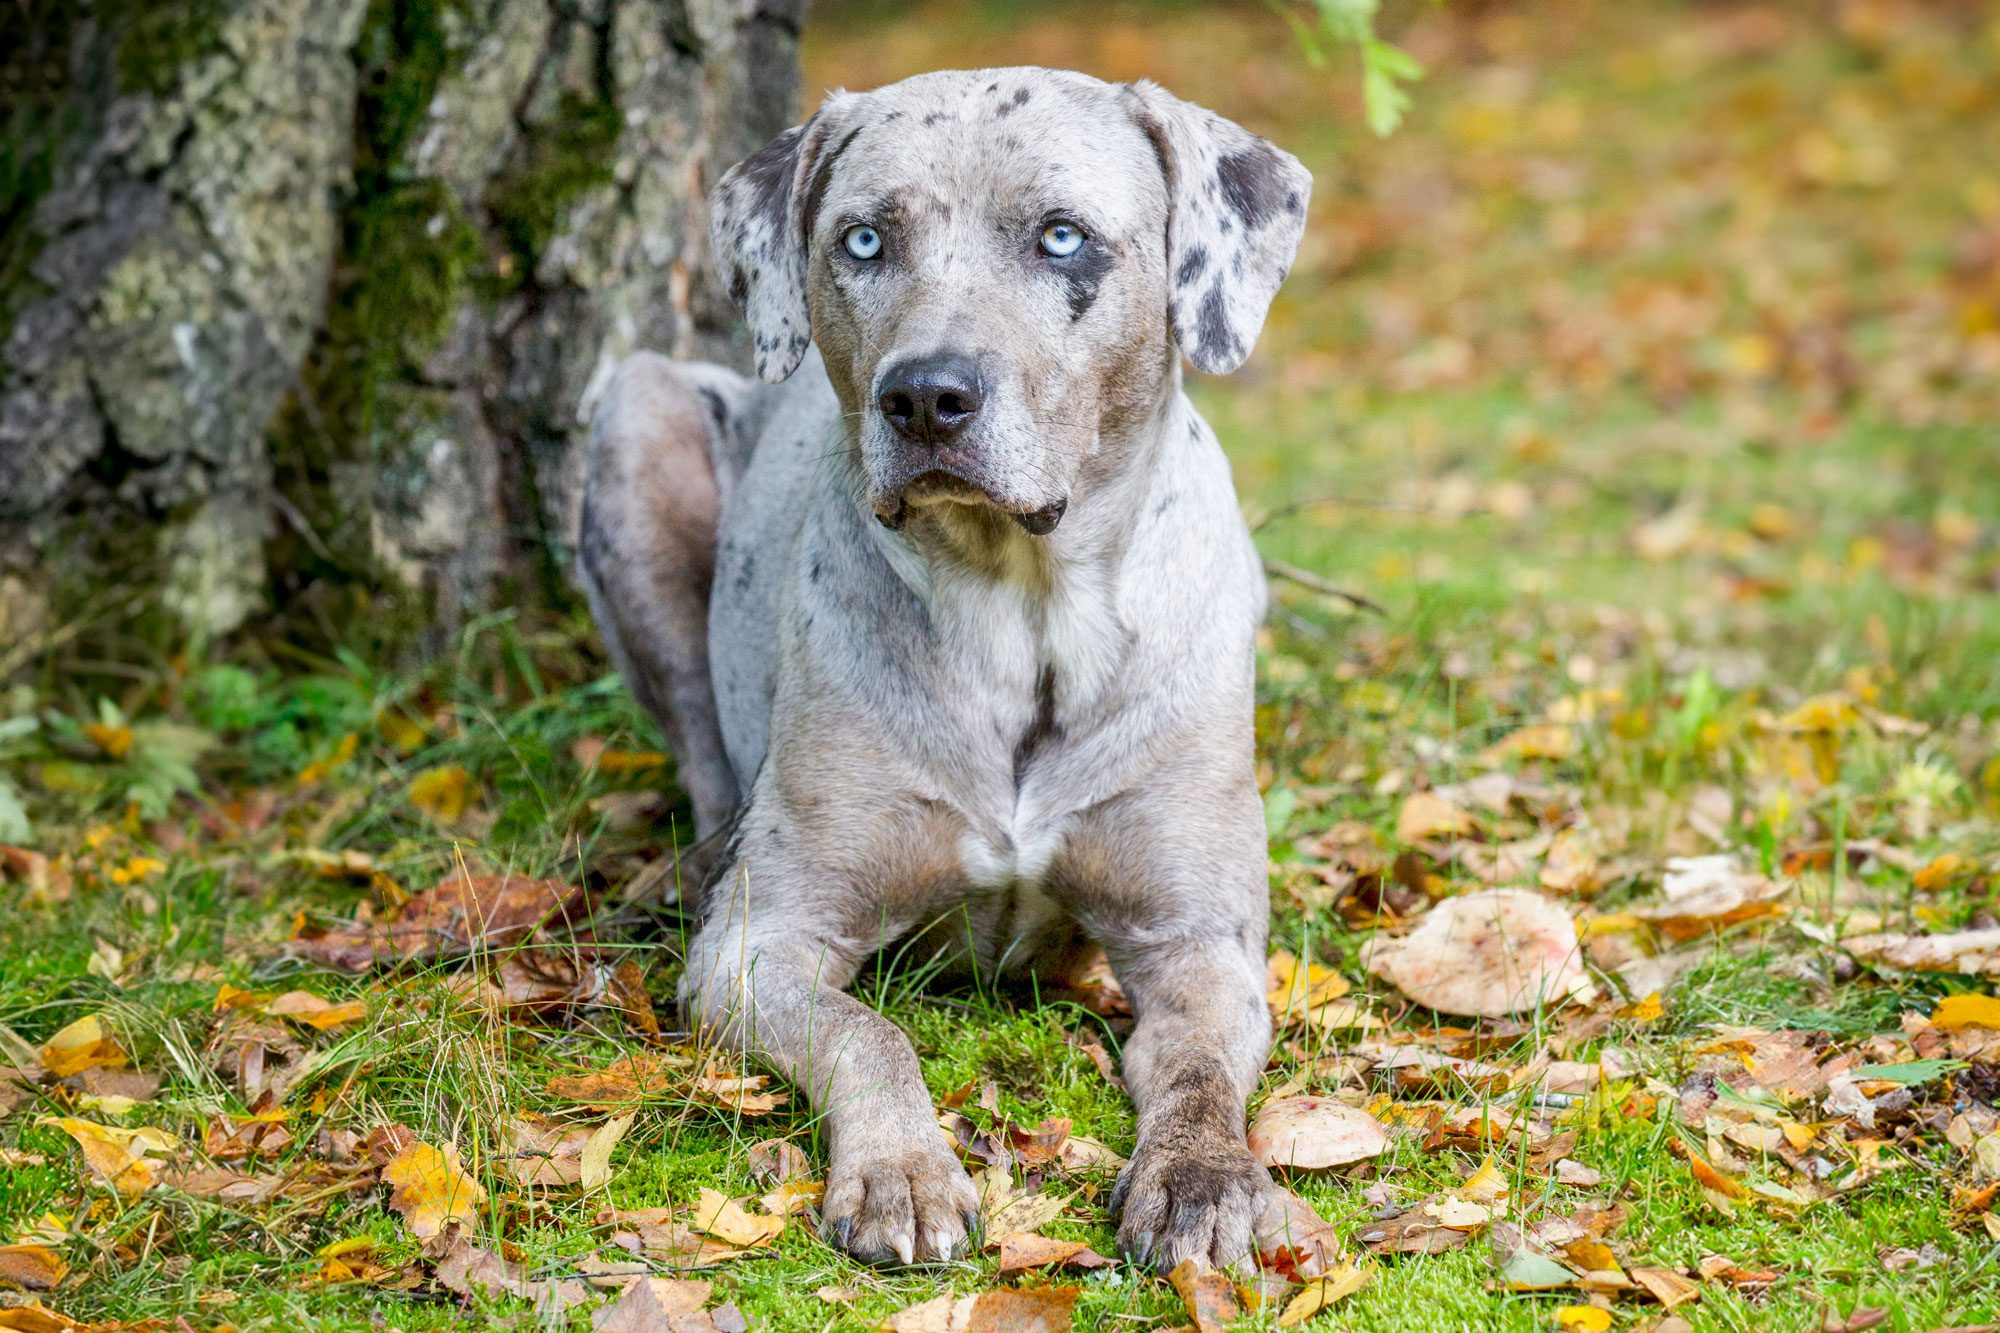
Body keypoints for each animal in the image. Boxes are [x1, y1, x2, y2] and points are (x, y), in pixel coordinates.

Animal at [576, 65, 1312, 1264]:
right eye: (865, 239)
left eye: (1062, 236)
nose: (924, 395)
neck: (1024, 612)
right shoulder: (761, 945)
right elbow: (869, 1032)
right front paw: (901, 1172)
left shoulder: (1200, 941)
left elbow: (1200, 1067)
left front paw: (1204, 1180)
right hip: (639, 415)